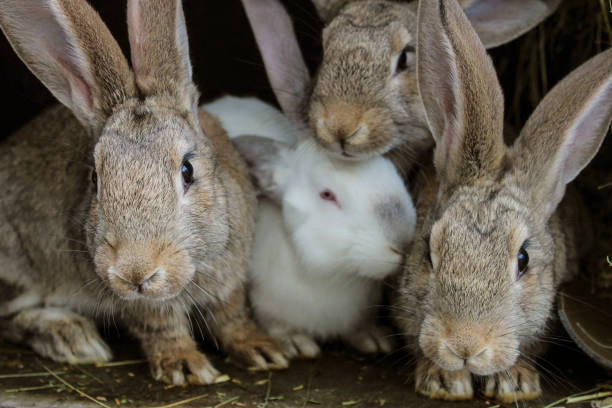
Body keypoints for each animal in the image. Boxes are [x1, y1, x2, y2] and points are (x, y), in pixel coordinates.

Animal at [0, 0, 286, 386]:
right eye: (95, 179)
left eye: (187, 170)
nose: (135, 273)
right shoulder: (136, 304)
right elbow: (161, 328)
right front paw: (186, 367)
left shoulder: (230, 279)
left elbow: (232, 316)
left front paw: (263, 350)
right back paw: (72, 338)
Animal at [202, 95, 416, 356]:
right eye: (327, 195)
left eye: (391, 171)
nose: (403, 241)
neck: (335, 276)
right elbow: (277, 326)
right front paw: (297, 343)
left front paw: (373, 339)